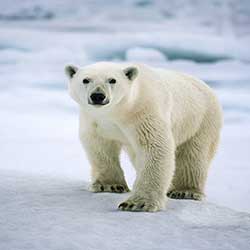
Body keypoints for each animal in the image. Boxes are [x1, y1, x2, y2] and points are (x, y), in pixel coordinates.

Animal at [64, 61, 223, 212]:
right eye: (85, 80)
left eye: (112, 80)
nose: (98, 96)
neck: (119, 111)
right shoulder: (95, 120)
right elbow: (100, 146)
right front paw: (110, 185)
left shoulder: (144, 112)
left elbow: (155, 147)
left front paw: (137, 204)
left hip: (200, 120)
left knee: (192, 156)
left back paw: (185, 191)